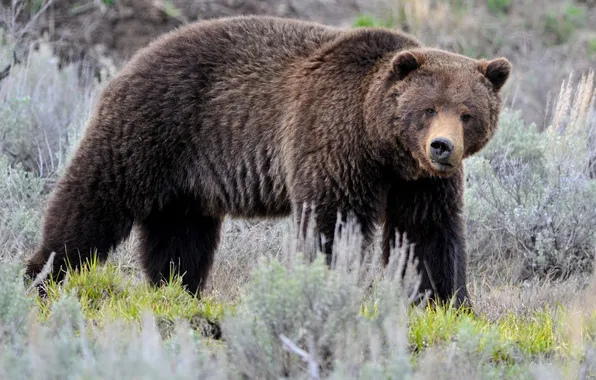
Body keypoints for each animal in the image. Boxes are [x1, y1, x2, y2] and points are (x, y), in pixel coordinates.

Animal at [25, 14, 512, 308]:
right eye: (428, 108)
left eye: (467, 113)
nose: (442, 147)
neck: (381, 147)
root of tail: (133, 58)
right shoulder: (331, 142)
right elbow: (330, 226)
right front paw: (323, 288)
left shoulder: (419, 183)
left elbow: (427, 235)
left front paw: (446, 304)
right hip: (153, 127)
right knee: (94, 199)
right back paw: (42, 274)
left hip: (187, 179)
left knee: (181, 238)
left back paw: (179, 291)